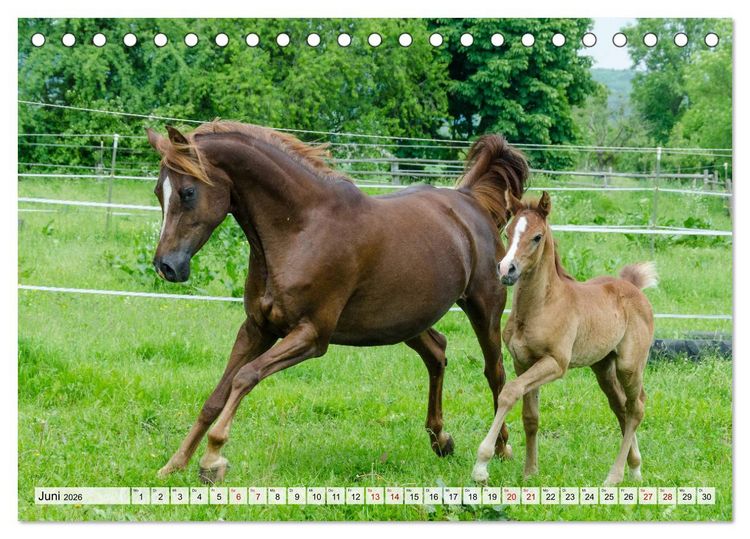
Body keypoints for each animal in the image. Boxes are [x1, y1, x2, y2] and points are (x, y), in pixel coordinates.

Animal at [145, 121, 528, 483]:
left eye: (188, 192)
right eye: (158, 191)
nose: (167, 266)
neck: (300, 228)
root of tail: (470, 200)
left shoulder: (312, 336)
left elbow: (245, 377)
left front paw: (212, 459)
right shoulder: (256, 329)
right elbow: (216, 397)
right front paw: (173, 465)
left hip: (484, 308)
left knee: (495, 372)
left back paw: (501, 449)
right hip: (405, 321)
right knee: (437, 353)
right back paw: (441, 440)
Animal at [470, 190, 656, 486]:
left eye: (537, 236)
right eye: (508, 232)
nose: (506, 270)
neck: (542, 306)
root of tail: (633, 288)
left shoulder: (556, 363)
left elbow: (509, 392)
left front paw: (481, 465)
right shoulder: (523, 363)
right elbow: (530, 416)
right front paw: (530, 472)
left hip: (630, 365)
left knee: (636, 407)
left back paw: (615, 475)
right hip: (603, 367)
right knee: (621, 407)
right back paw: (635, 468)